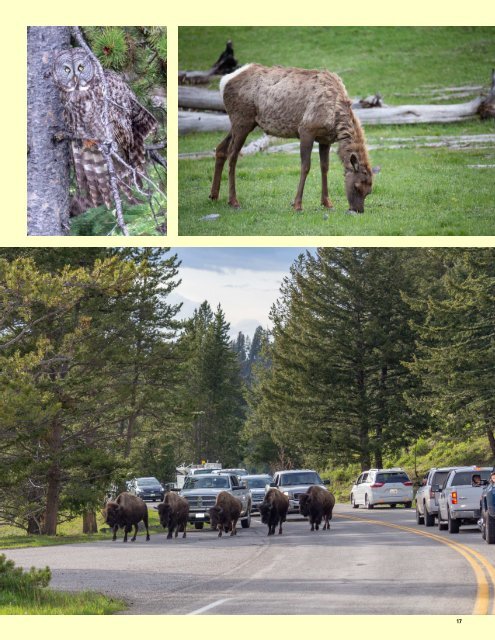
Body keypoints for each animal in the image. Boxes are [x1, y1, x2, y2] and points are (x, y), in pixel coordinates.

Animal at [211, 65, 374, 215]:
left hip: (242, 123)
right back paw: (233, 201)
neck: (336, 119)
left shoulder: (325, 139)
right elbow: (305, 166)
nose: (358, 210)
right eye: (357, 186)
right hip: (242, 119)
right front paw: (297, 205)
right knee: (233, 155)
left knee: (221, 149)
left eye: (369, 190)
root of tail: (224, 81)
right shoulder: (306, 130)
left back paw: (214, 195)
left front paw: (327, 203)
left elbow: (325, 167)